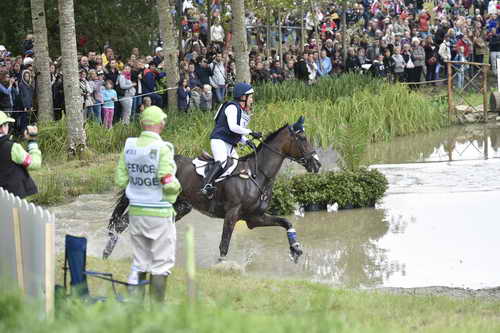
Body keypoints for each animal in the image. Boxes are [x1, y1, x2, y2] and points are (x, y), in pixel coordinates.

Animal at [107, 116, 322, 262]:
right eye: (303, 138)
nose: (317, 164)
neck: (258, 174)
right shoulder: (232, 214)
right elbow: (224, 244)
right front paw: (221, 266)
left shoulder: (255, 218)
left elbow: (285, 222)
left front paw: (295, 249)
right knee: (122, 222)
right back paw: (108, 252)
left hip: (181, 206)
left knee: (124, 222)